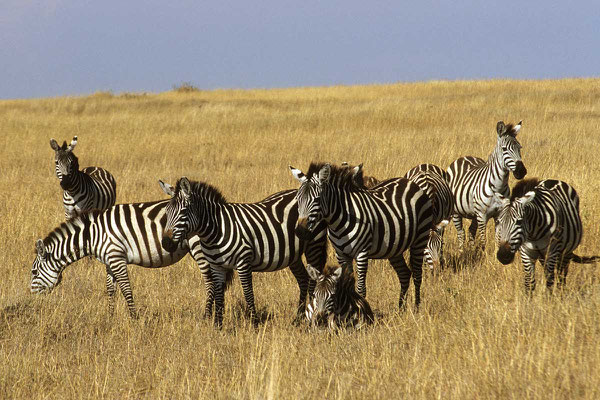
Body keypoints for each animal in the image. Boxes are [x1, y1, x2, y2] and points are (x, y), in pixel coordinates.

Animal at [30, 196, 233, 318]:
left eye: (34, 272)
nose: (32, 298)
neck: (93, 235)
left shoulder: (116, 257)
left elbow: (126, 289)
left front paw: (134, 318)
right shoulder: (109, 260)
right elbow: (110, 289)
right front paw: (110, 317)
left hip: (199, 248)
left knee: (210, 282)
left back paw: (206, 316)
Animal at [161, 178, 328, 328]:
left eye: (183, 212)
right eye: (167, 212)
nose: (165, 243)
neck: (217, 229)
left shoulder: (243, 262)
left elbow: (248, 292)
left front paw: (254, 324)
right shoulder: (217, 266)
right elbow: (219, 295)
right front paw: (217, 327)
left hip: (314, 245)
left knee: (313, 280)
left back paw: (310, 315)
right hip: (292, 254)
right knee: (303, 279)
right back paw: (298, 318)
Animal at [290, 162, 432, 310]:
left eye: (317, 200)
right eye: (298, 199)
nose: (300, 231)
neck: (339, 221)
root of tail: (409, 182)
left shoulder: (362, 253)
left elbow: (360, 288)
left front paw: (360, 311)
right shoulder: (341, 255)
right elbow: (348, 284)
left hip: (420, 237)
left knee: (417, 273)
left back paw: (416, 307)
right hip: (394, 248)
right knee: (404, 273)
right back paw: (401, 309)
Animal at [446, 119, 524, 250]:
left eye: (520, 148)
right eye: (504, 149)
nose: (521, 171)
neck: (498, 186)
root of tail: (464, 157)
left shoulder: (500, 214)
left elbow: (498, 239)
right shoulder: (482, 215)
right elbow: (483, 240)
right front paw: (484, 254)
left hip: (473, 213)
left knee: (471, 231)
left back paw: (472, 249)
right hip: (456, 212)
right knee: (461, 233)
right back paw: (461, 251)